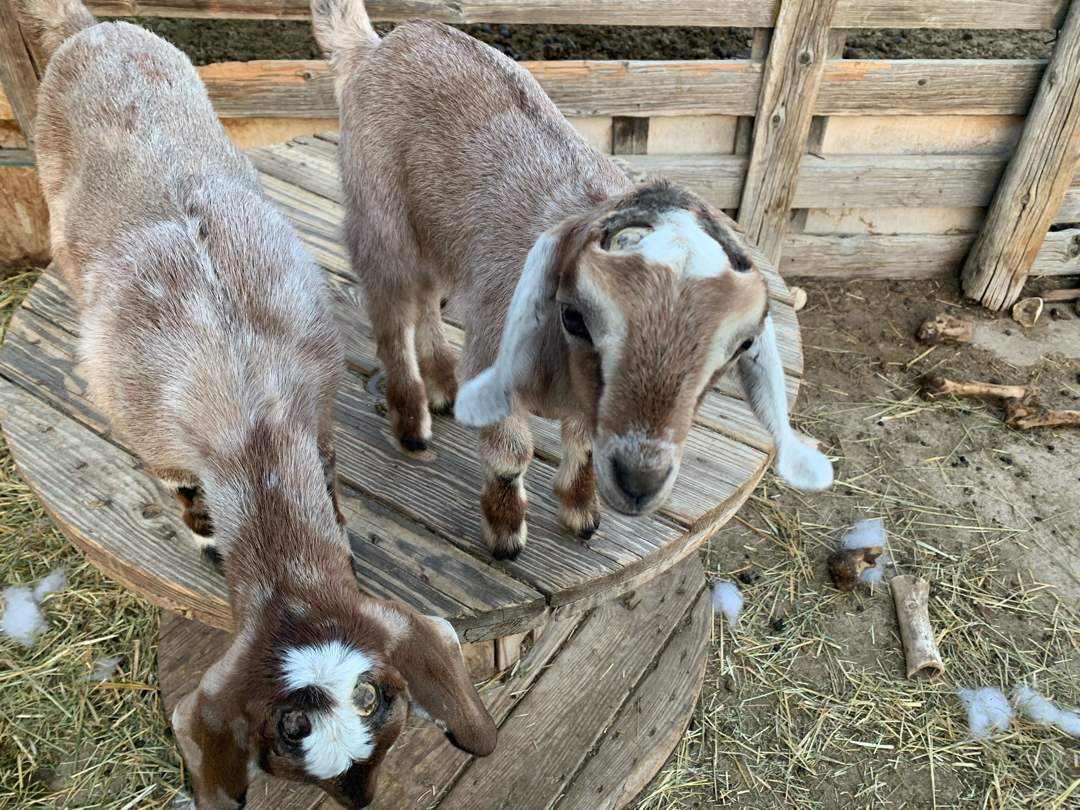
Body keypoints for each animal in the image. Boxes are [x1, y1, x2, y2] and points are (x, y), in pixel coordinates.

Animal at [16, 0, 496, 807]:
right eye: (282, 741)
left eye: (380, 701)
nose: (361, 800)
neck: (248, 411)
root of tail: (90, 29)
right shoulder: (163, 444)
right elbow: (184, 493)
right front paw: (208, 536)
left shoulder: (316, 412)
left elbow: (328, 477)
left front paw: (338, 526)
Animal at [313, 0, 833, 565]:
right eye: (574, 316)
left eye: (740, 346)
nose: (639, 483)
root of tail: (379, 45)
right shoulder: (497, 362)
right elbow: (511, 454)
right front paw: (505, 532)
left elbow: (582, 442)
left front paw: (581, 511)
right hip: (380, 217)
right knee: (391, 314)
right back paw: (411, 423)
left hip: (434, 233)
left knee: (428, 299)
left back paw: (445, 389)